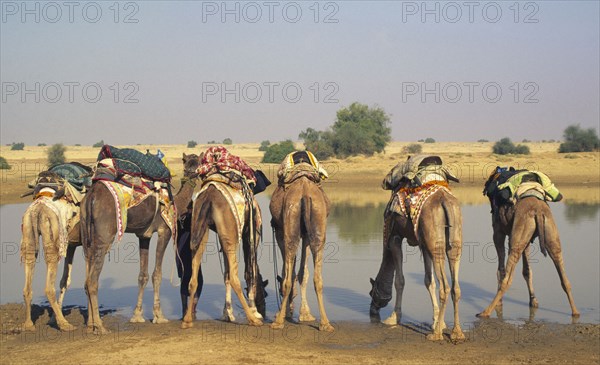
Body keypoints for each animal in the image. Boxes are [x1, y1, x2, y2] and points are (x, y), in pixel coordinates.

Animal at [81, 154, 199, 332]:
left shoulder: (144, 236)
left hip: (87, 234)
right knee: (92, 280)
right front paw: (159, 316)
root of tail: (91, 197)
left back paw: (90, 325)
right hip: (105, 234)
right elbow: (157, 274)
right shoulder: (164, 230)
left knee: (87, 276)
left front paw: (137, 316)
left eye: (197, 163)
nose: (192, 174)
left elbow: (142, 275)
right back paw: (100, 327)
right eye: (189, 165)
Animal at [180, 178, 264, 328]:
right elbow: (250, 273)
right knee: (236, 278)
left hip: (202, 231)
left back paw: (187, 319)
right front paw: (255, 311)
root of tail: (208, 197)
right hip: (231, 237)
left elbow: (226, 274)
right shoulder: (252, 233)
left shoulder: (222, 237)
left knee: (193, 279)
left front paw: (227, 313)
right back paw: (253, 319)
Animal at [270, 175, 336, 332]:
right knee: (317, 277)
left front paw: (286, 312)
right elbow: (302, 273)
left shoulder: (280, 232)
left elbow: (288, 273)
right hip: (318, 223)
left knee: (288, 278)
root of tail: (305, 192)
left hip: (290, 220)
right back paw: (325, 323)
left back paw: (278, 322)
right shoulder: (306, 234)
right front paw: (305, 314)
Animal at [368, 186, 466, 340]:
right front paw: (437, 321)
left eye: (372, 293)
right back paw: (457, 333)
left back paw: (436, 335)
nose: (372, 310)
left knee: (445, 287)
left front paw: (393, 318)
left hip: (435, 243)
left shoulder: (395, 238)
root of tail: (444, 201)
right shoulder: (423, 244)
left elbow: (399, 281)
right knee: (456, 285)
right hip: (454, 238)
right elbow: (428, 281)